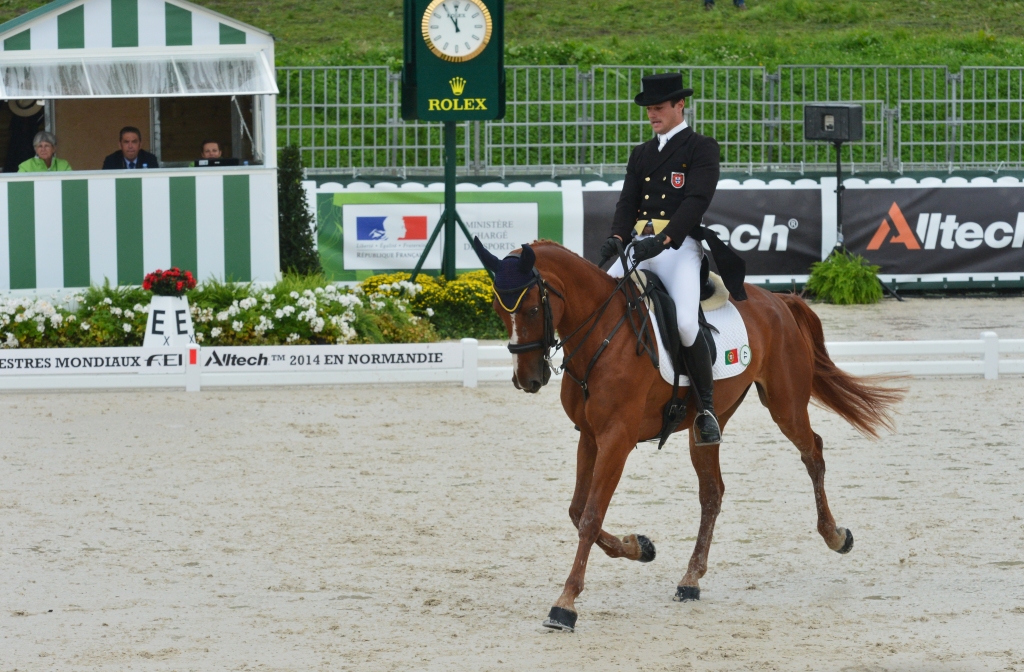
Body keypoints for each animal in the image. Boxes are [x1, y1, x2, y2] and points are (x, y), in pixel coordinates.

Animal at [473, 238, 905, 631]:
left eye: (532, 308)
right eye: (496, 309)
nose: (527, 379)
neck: (603, 336)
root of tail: (780, 300)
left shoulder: (617, 439)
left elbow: (591, 516)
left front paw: (565, 604)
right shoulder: (590, 436)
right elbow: (578, 511)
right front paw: (640, 547)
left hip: (785, 405)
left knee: (812, 452)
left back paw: (836, 536)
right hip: (708, 424)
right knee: (713, 492)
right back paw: (691, 579)